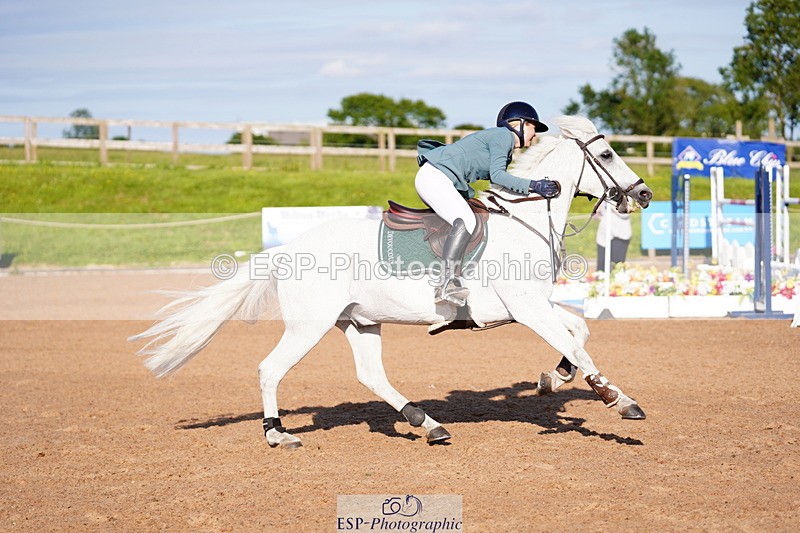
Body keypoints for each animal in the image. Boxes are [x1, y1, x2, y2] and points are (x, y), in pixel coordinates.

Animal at [131, 116, 654, 448]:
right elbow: (579, 345)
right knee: (270, 369)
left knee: (371, 374)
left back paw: (428, 424)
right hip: (309, 325)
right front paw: (618, 400)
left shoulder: (530, 306)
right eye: (607, 153)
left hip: (360, 320)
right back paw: (277, 433)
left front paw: (554, 378)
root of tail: (286, 250)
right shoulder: (525, 309)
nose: (644, 194)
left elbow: (578, 332)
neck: (526, 221)